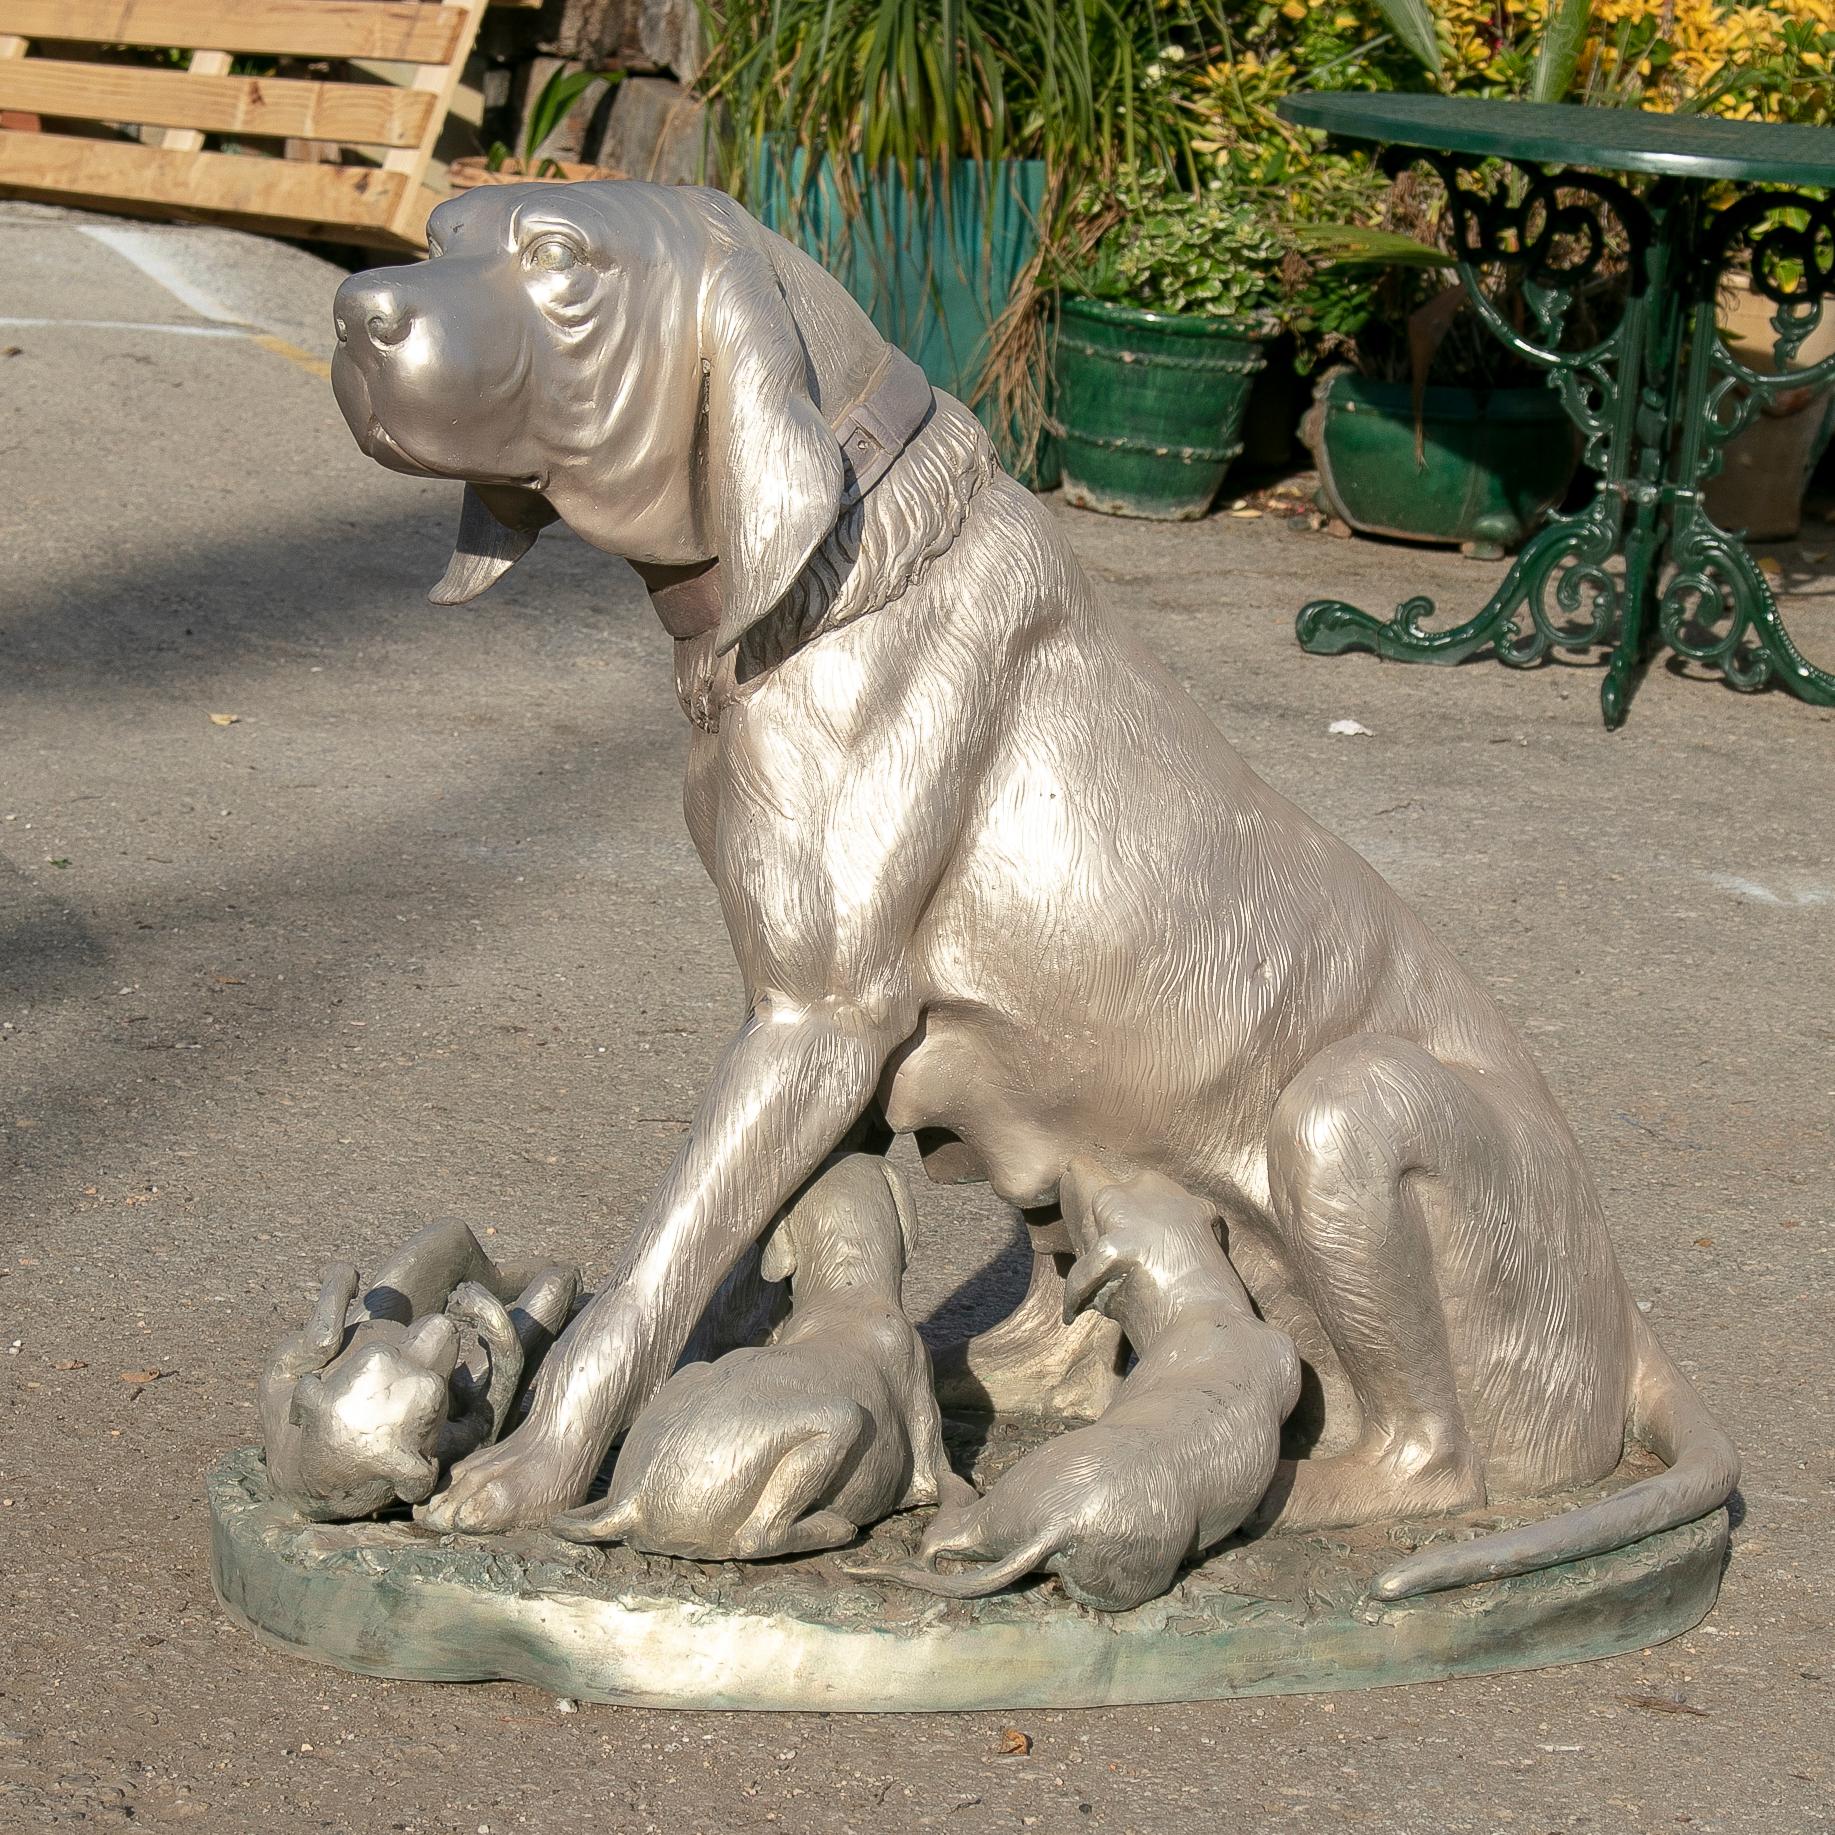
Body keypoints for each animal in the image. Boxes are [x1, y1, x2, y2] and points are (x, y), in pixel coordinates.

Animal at [550, 1152, 954, 1556]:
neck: (848, 1292)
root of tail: (632, 1499)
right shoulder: (918, 1386)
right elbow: (931, 1481)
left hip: (691, 1373)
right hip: (839, 1418)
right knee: (754, 1538)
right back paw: (831, 1526)